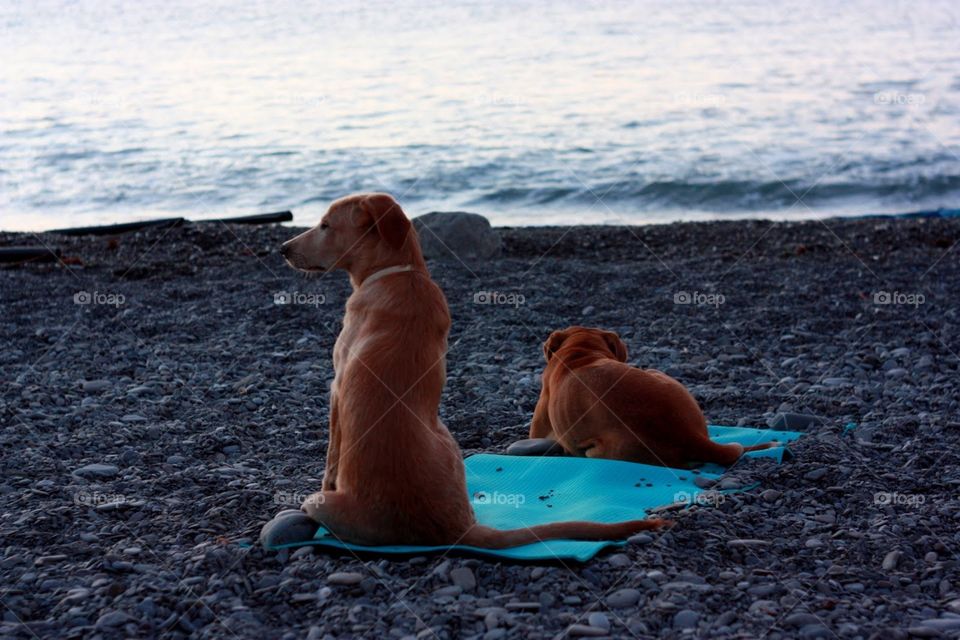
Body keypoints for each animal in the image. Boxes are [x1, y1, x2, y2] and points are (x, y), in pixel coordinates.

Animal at [278, 194, 668, 544]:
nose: (282, 248)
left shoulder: (336, 389)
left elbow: (331, 454)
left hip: (321, 502)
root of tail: (455, 530)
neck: (397, 274)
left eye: (325, 225)